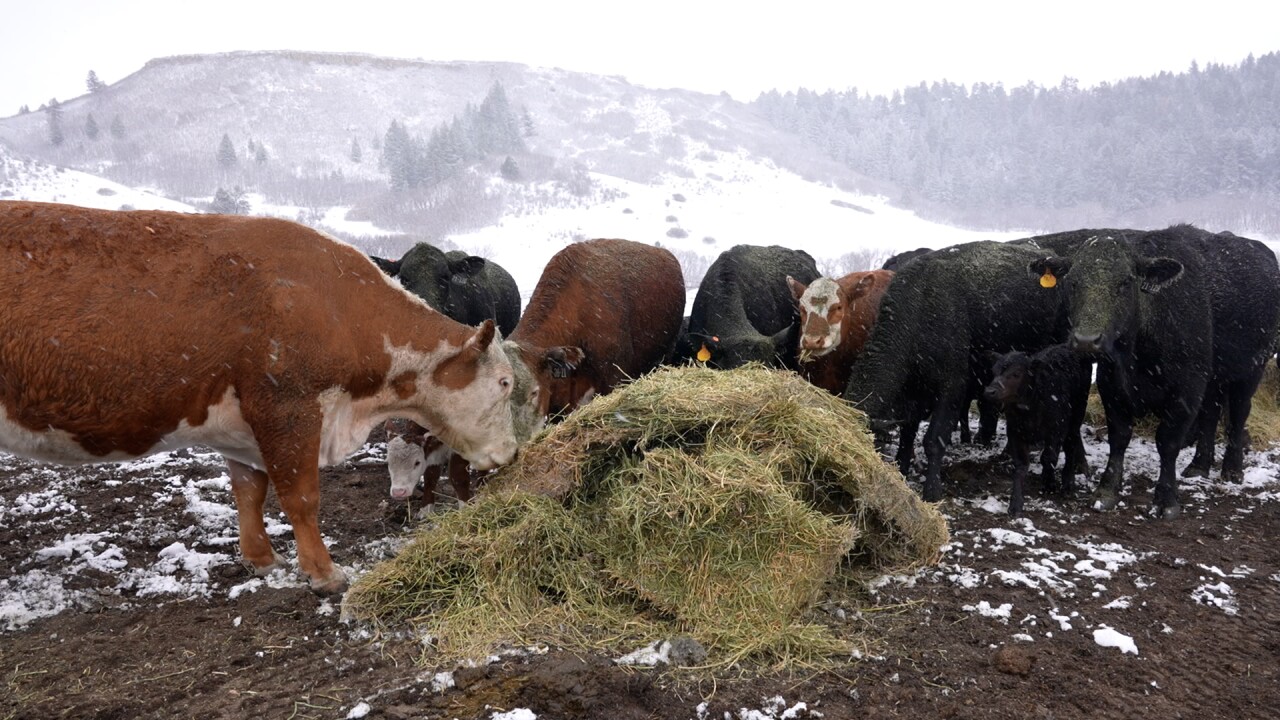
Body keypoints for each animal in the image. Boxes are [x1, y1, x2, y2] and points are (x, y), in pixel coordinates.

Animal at [0, 201, 521, 595]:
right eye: (504, 383)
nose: (513, 453)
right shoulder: (288, 409)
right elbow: (301, 496)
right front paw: (324, 573)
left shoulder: (244, 427)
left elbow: (249, 490)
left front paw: (262, 559)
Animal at [845, 240, 1069, 504]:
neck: (920, 308)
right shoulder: (913, 392)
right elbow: (907, 433)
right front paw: (901, 470)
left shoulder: (952, 387)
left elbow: (934, 439)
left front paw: (932, 490)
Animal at [983, 345, 1093, 517]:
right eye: (993, 371)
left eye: (1017, 373)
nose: (990, 392)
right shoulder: (1014, 432)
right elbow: (1021, 465)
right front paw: (1015, 504)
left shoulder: (1057, 429)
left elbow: (1048, 457)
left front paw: (1049, 484)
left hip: (1078, 411)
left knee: (1072, 443)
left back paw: (1068, 483)